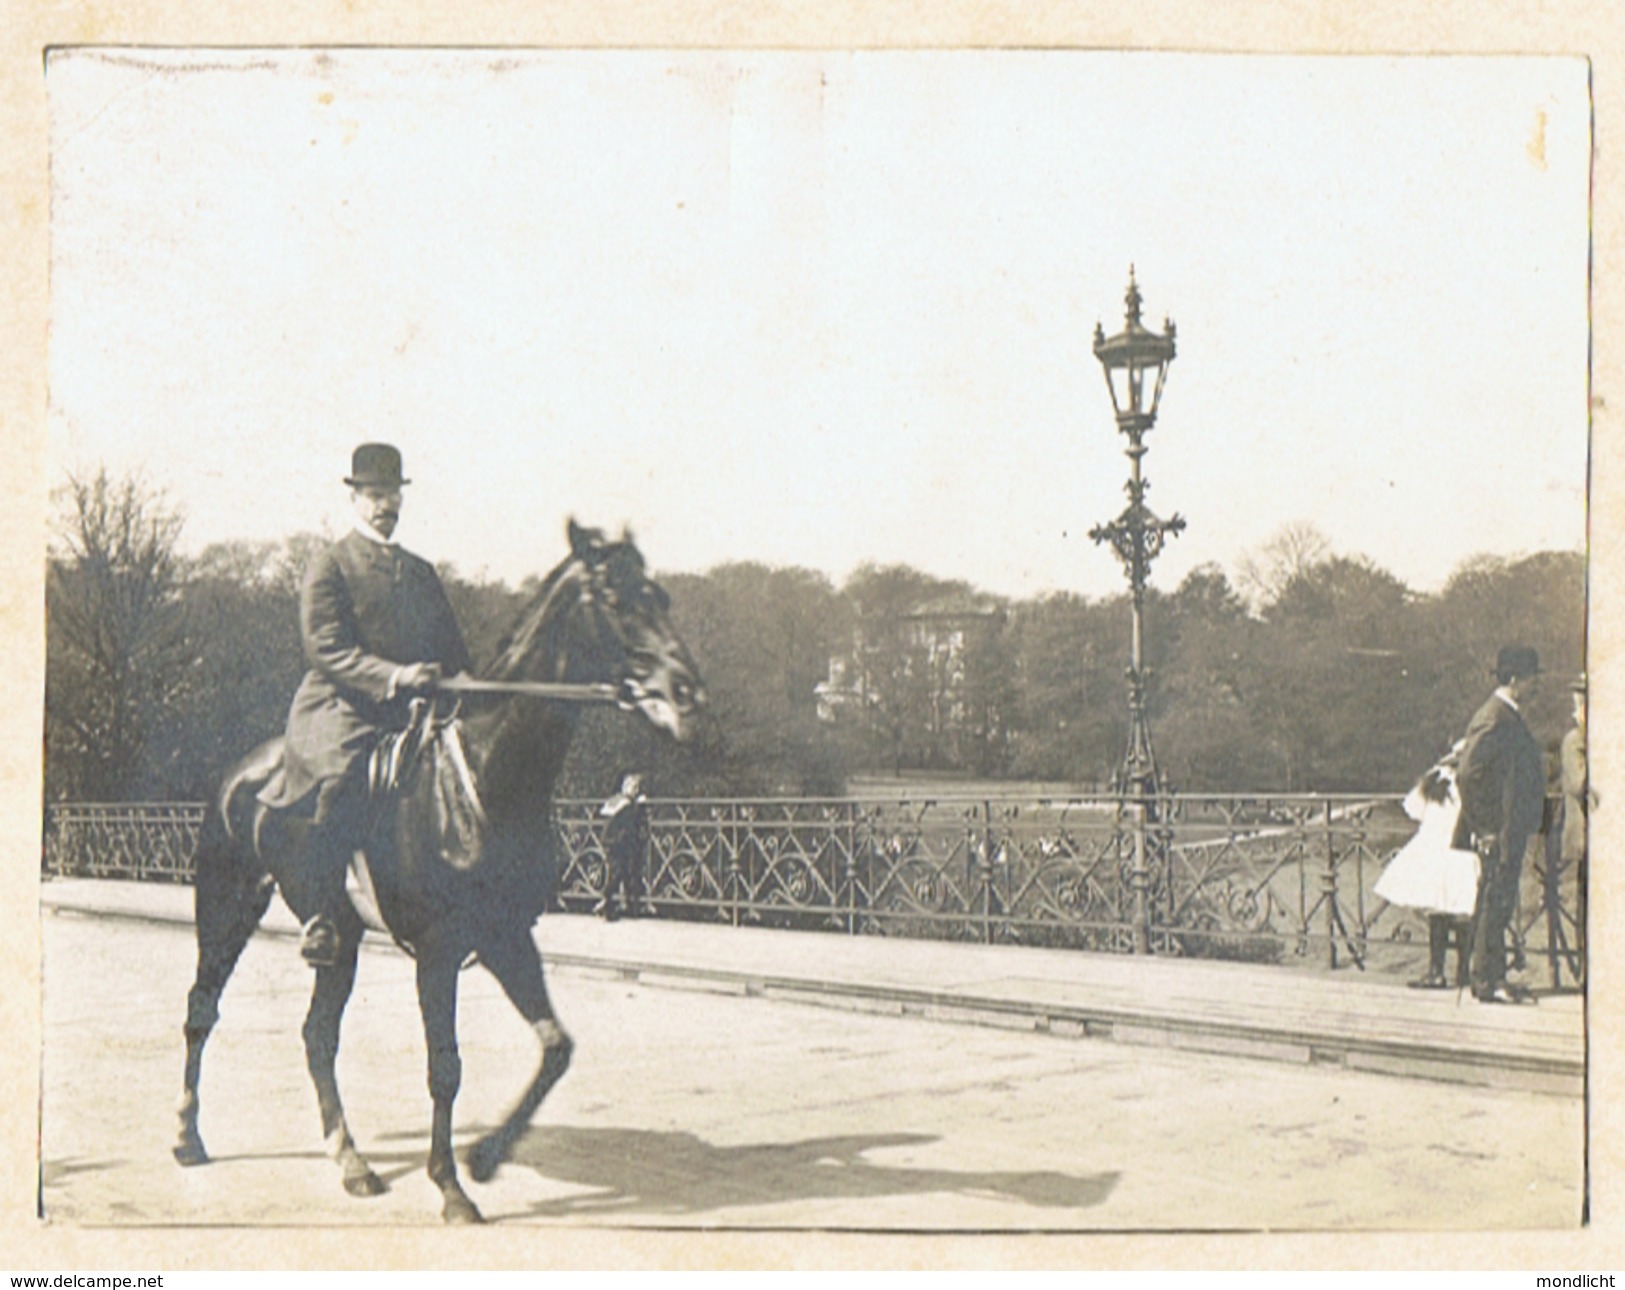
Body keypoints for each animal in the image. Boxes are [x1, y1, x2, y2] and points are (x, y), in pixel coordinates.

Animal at [169, 516, 705, 1221]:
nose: (687, 695)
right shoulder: (439, 948)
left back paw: (351, 1160)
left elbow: (556, 1046)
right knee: (202, 1008)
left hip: (342, 938)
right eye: (617, 600)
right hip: (225, 902)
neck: (486, 772)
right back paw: (188, 1135)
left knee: (317, 1035)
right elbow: (445, 1066)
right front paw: (450, 1185)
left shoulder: (506, 936)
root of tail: (239, 770)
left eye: (662, 595)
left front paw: (485, 1156)